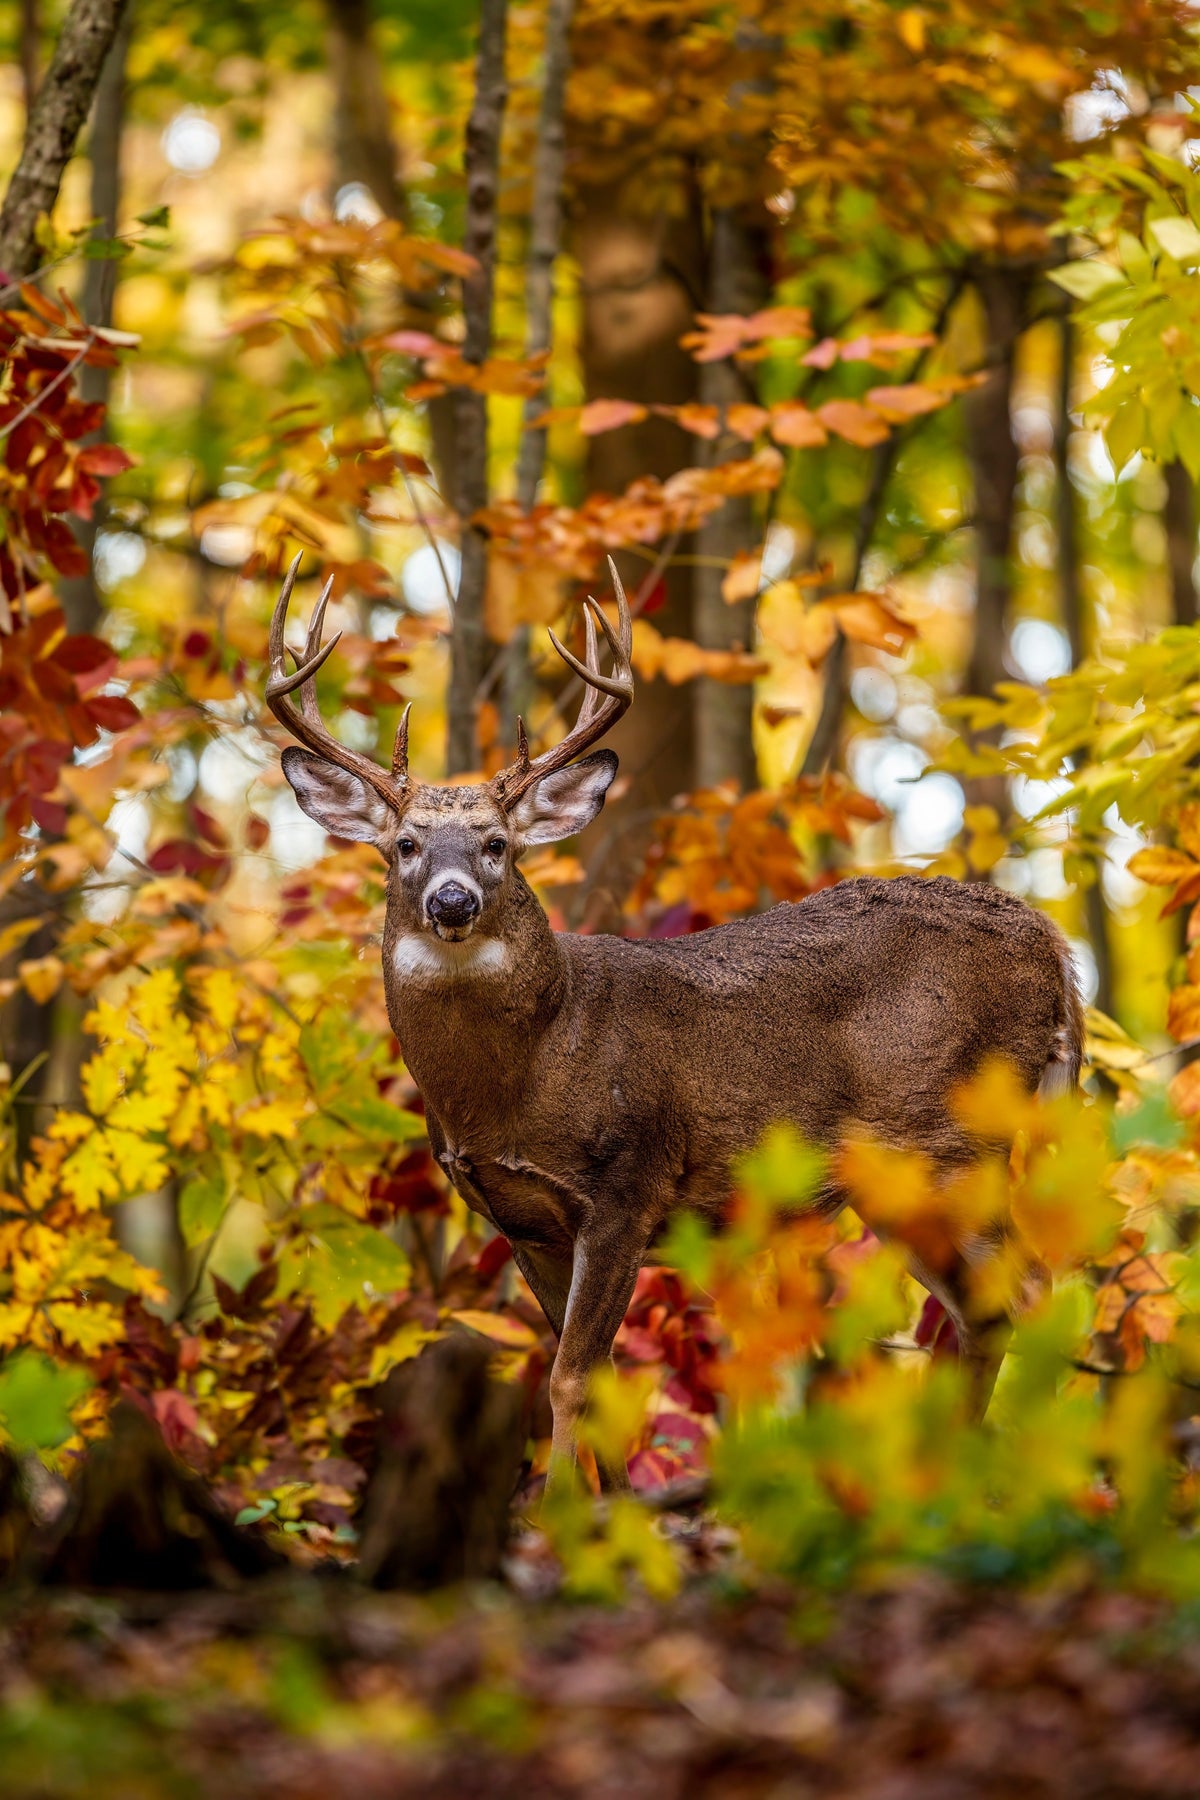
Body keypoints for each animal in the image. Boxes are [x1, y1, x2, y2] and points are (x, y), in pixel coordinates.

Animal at [267, 553, 1083, 1491]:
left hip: (959, 1136)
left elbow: (572, 1376)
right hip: (905, 1180)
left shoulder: (631, 1181)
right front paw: (607, 1511)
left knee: (1030, 1293)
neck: (528, 1072)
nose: (452, 900)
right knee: (984, 1311)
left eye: (498, 846)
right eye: (403, 845)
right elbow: (601, 1380)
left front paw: (560, 1511)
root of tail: (1054, 943)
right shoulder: (521, 1219)